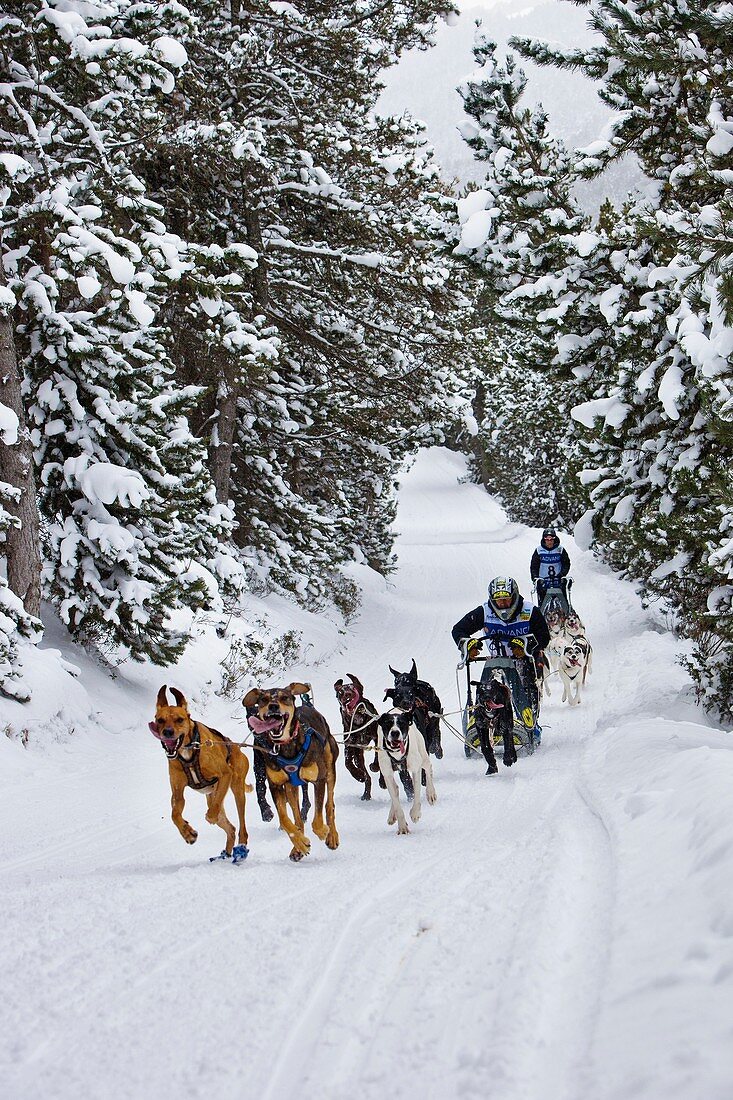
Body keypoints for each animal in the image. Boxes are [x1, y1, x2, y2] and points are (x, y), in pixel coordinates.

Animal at [149, 686, 249, 858]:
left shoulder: (225, 775)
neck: (189, 751)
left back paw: (241, 845)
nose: (167, 732)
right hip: (214, 795)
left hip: (237, 789)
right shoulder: (177, 793)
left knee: (240, 823)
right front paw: (188, 833)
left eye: (179, 719)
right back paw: (226, 853)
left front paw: (208, 818)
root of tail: (238, 748)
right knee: (231, 828)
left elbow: (212, 813)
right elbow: (174, 814)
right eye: (160, 720)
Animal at [242, 677, 338, 866]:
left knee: (329, 805)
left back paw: (332, 836)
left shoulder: (319, 780)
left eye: (284, 697)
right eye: (263, 699)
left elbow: (318, 818)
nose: (273, 706)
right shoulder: (277, 785)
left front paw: (322, 831)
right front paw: (300, 843)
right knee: (298, 818)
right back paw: (298, 848)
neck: (286, 746)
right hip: (291, 787)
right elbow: (286, 820)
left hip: (330, 768)